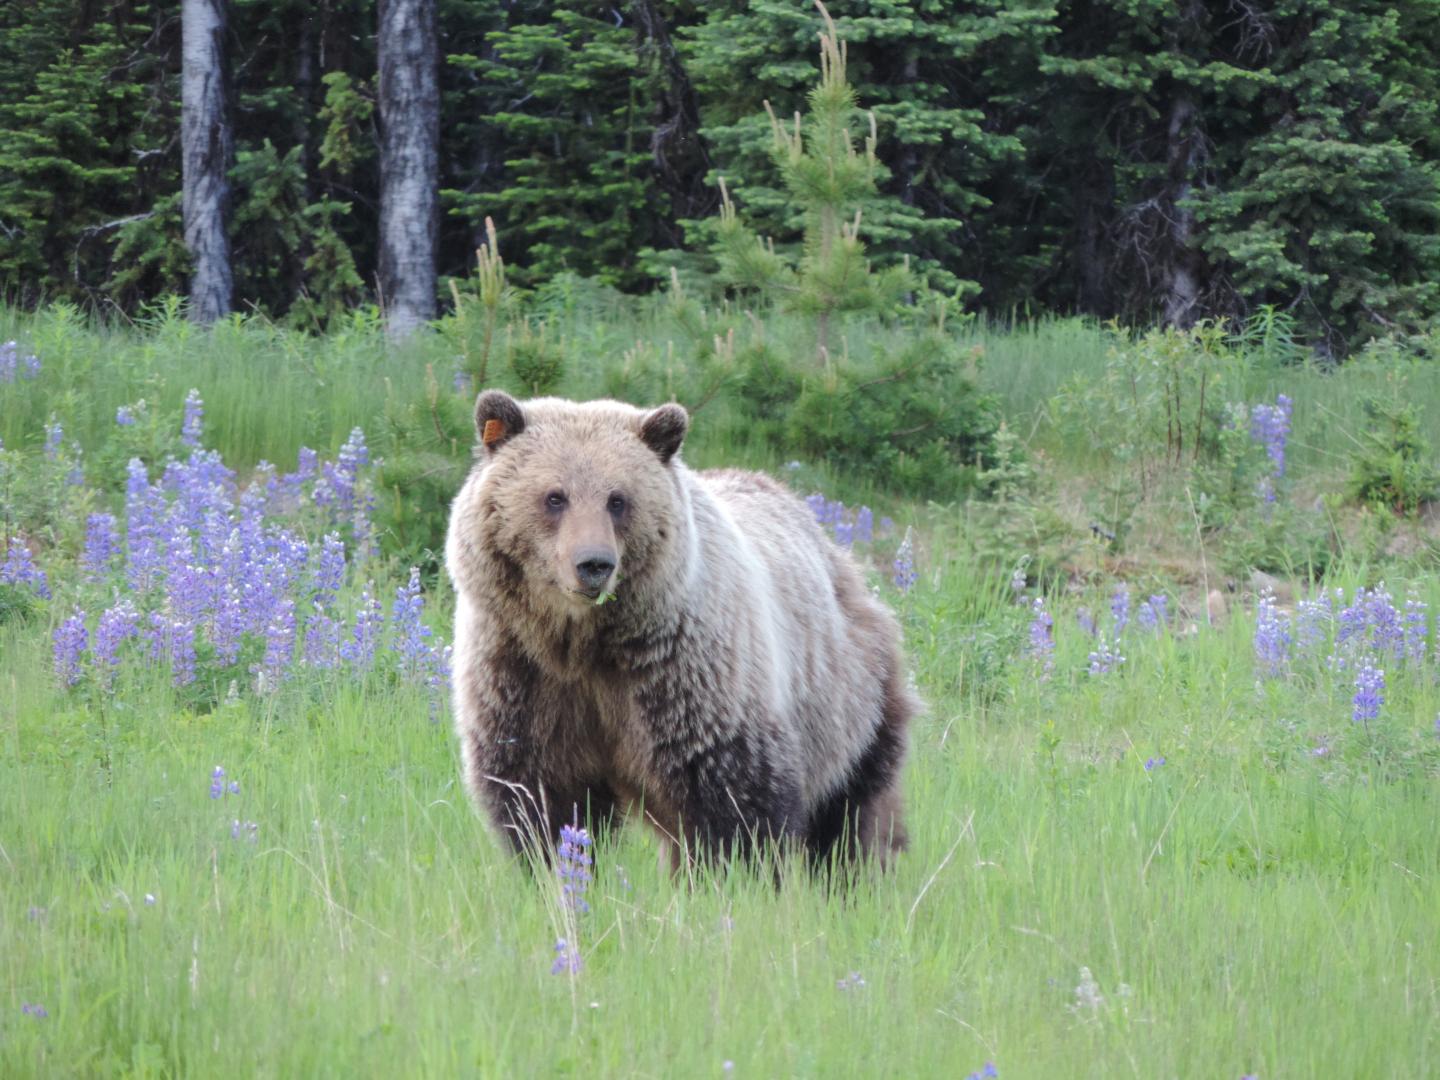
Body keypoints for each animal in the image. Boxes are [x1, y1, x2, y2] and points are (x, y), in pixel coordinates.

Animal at [445, 390, 916, 868]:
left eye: (618, 499)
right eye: (555, 497)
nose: (594, 564)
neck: (582, 642)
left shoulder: (684, 675)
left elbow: (733, 799)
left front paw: (732, 872)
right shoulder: (523, 675)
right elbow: (541, 797)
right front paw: (559, 864)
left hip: (850, 698)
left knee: (853, 817)